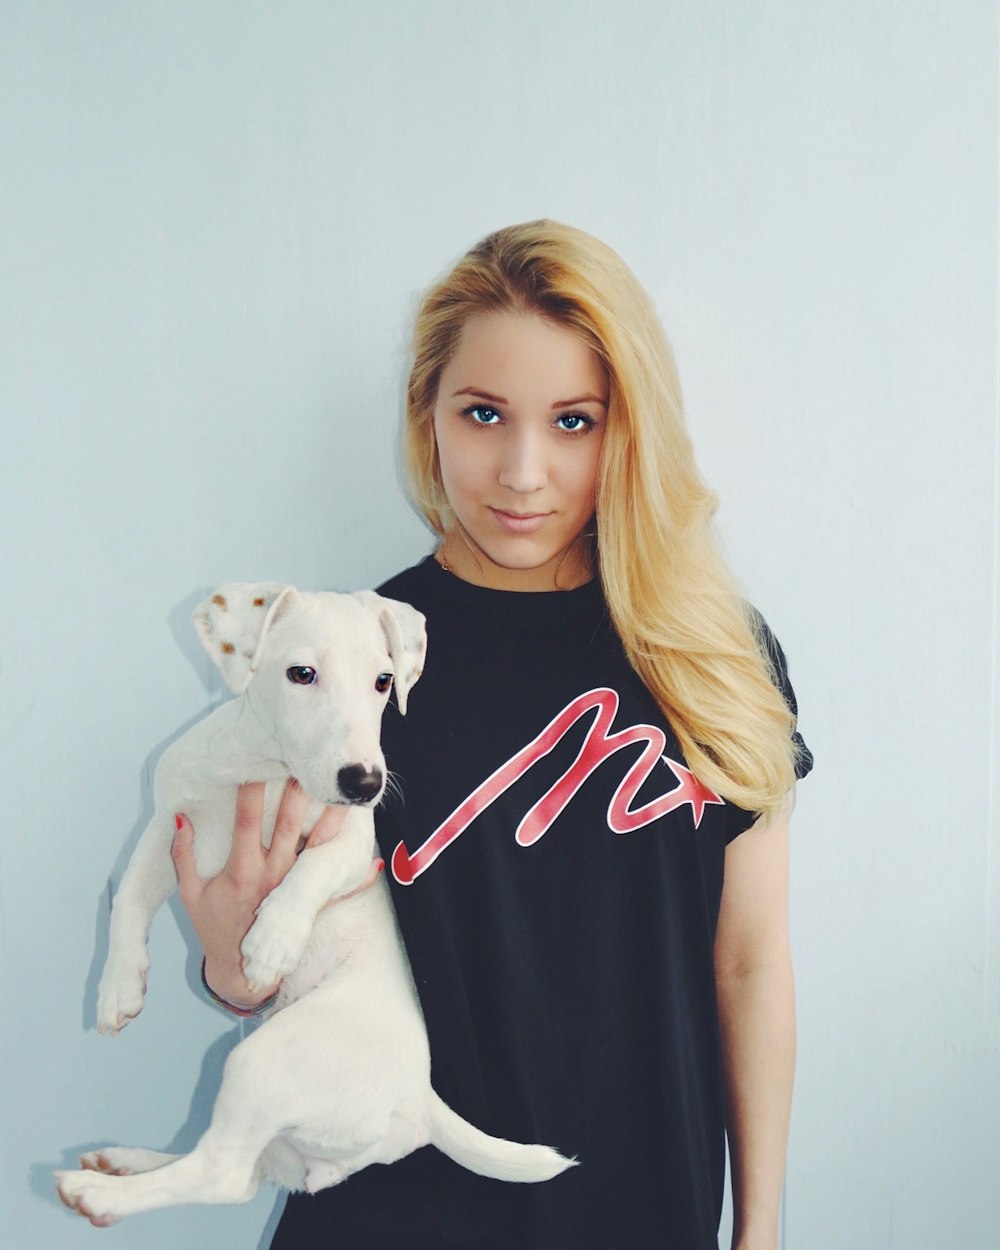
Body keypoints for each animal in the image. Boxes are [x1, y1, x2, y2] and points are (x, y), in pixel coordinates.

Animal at [56, 582, 570, 1220]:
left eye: (383, 680)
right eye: (302, 674)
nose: (366, 782)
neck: (262, 770)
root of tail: (418, 1100)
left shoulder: (352, 843)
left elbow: (311, 869)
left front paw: (273, 942)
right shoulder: (169, 827)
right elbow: (128, 896)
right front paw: (118, 990)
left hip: (266, 1061)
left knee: (223, 1174)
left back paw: (101, 1192)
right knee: (236, 1175)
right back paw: (126, 1163)